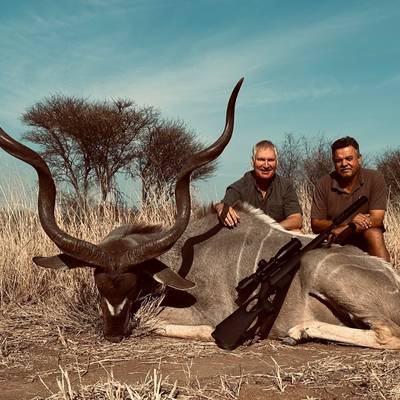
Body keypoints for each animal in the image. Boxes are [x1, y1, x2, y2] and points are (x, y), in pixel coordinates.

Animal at [2, 78, 400, 349]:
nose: (113, 333)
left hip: (328, 277)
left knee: (387, 335)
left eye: (131, 283)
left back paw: (298, 331)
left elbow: (157, 320)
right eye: (99, 284)